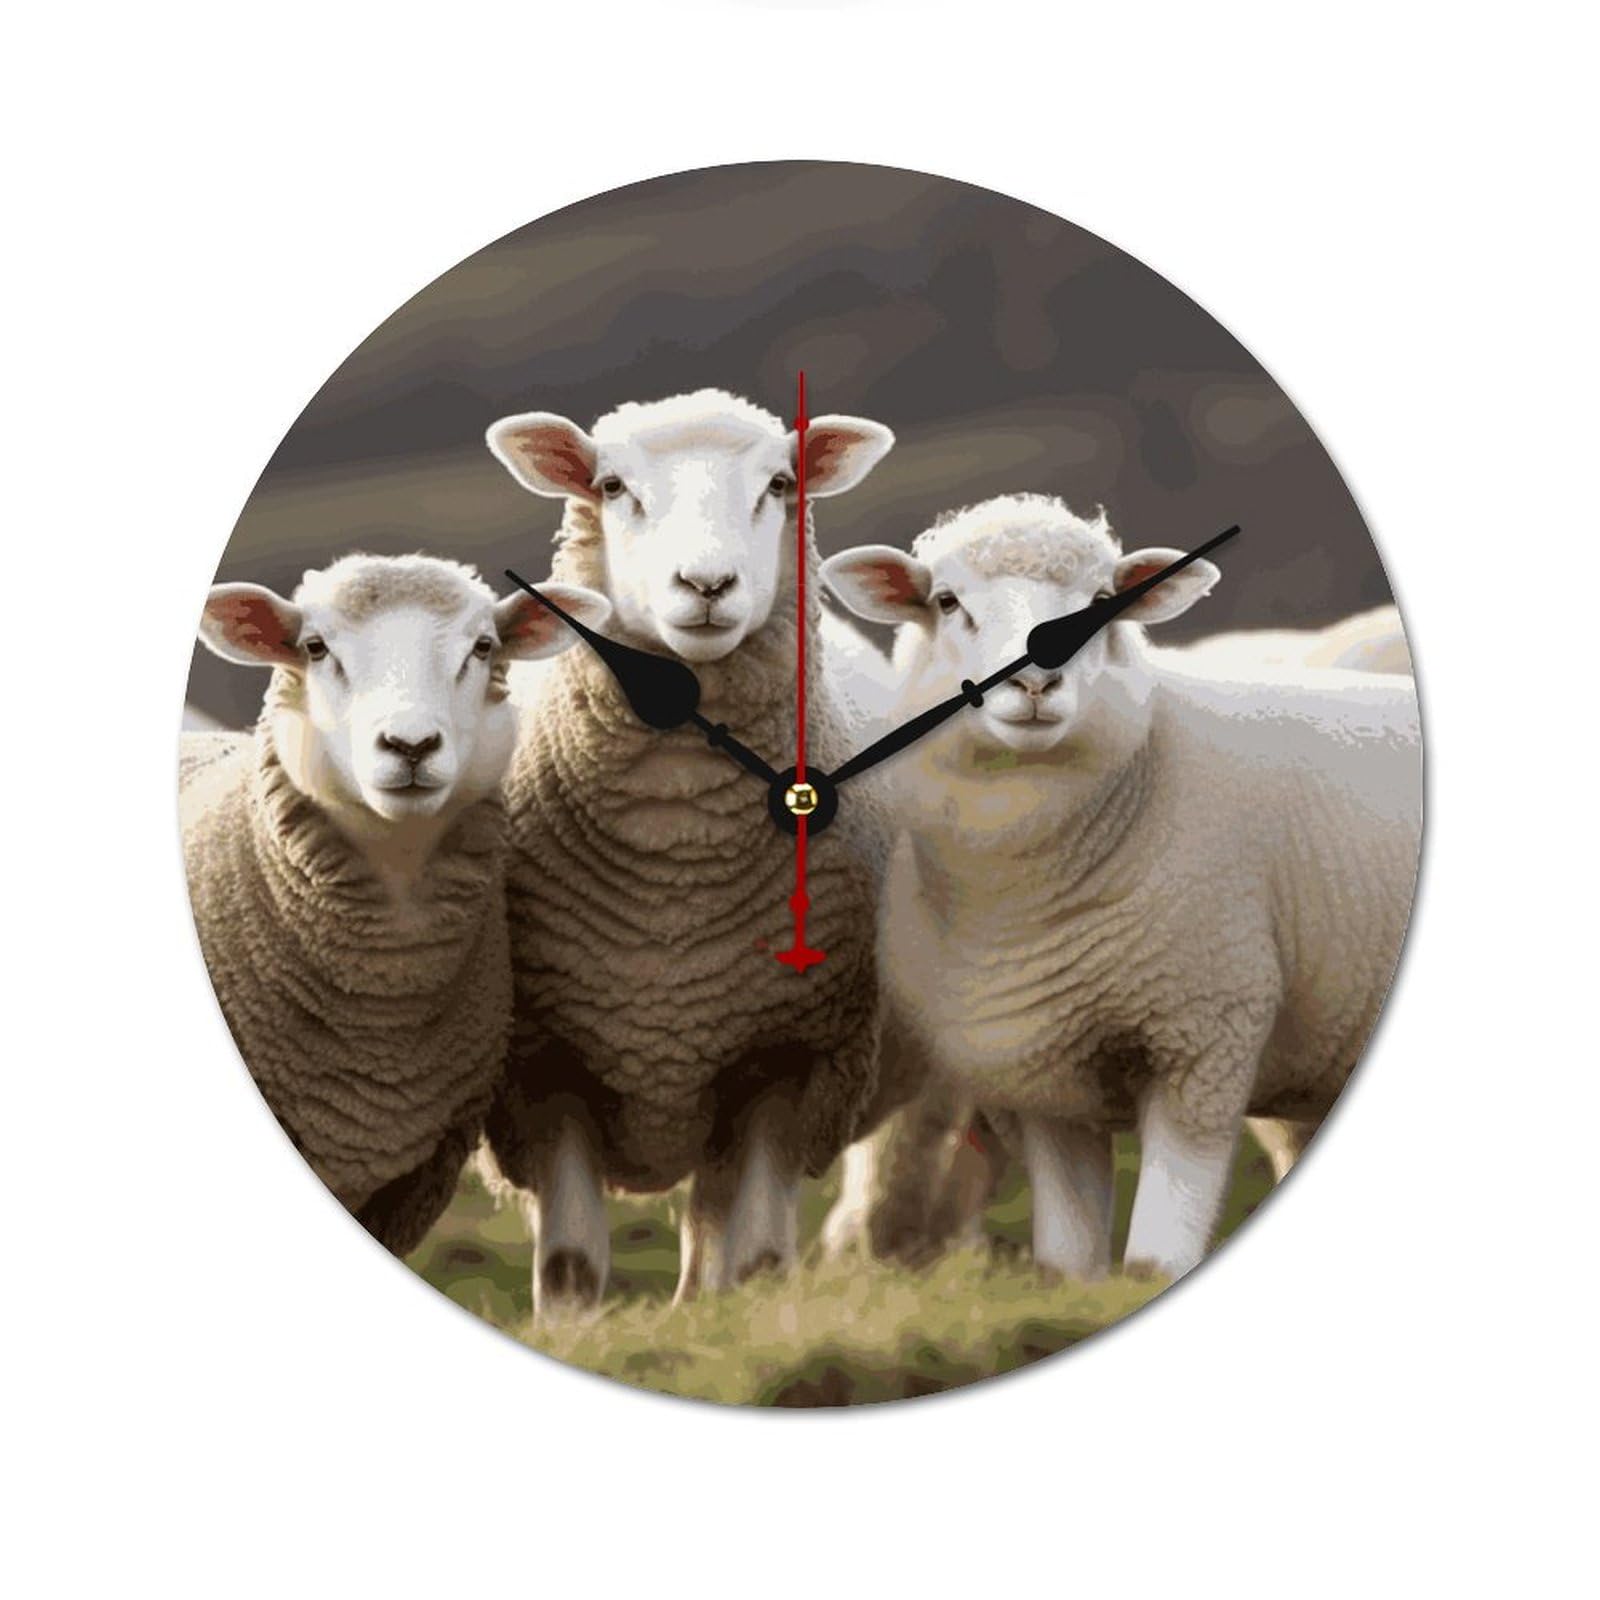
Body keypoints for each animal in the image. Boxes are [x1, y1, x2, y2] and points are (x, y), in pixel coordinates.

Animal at [479, 388, 895, 1313]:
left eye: (779, 483)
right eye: (612, 485)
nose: (706, 586)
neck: (678, 849)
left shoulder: (785, 1058)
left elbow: (762, 1260)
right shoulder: (543, 1068)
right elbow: (571, 1267)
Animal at [821, 494, 1422, 1281]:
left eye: (1104, 601)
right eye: (947, 602)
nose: (1036, 683)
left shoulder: (1203, 1035)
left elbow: (1154, 1258)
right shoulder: (1037, 1068)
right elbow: (1067, 1259)